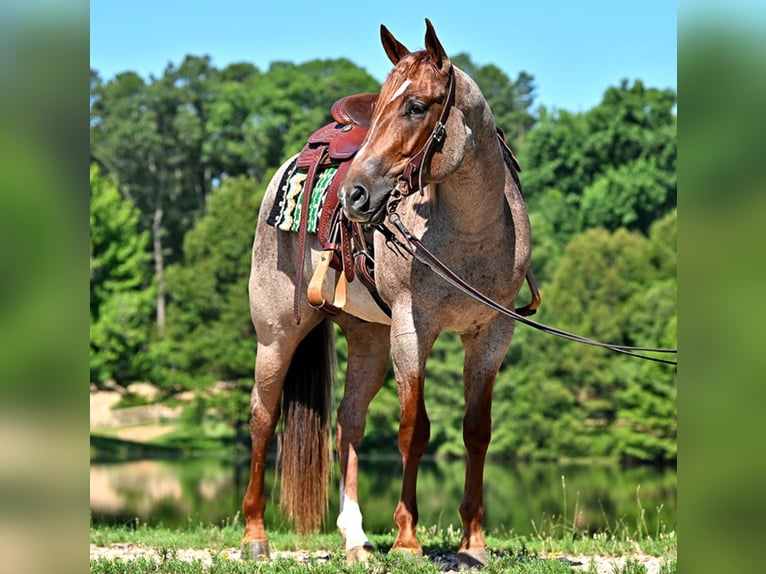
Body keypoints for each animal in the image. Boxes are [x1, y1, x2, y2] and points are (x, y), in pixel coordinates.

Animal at [241, 19, 533, 568]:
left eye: (417, 105)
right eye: (379, 106)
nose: (354, 194)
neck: (471, 231)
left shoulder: (491, 334)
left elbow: (476, 430)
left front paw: (473, 544)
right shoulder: (412, 328)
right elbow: (413, 430)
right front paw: (407, 539)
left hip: (368, 340)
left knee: (348, 423)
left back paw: (355, 539)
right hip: (277, 334)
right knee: (262, 418)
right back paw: (254, 535)